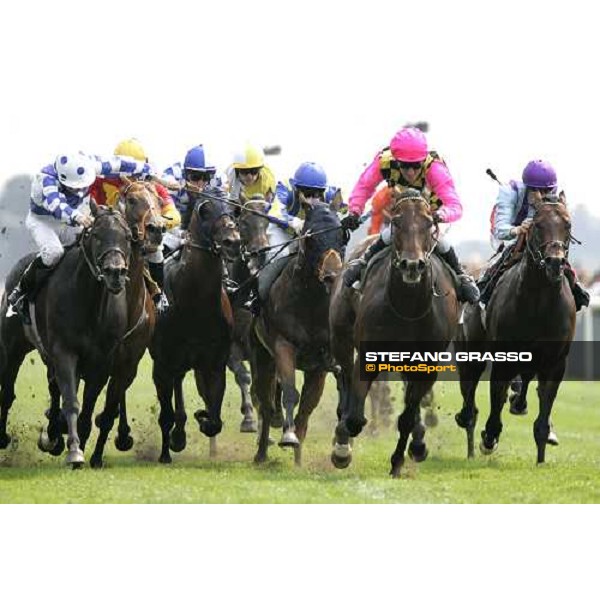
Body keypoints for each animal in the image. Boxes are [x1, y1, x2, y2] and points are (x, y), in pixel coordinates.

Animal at [0, 204, 132, 466]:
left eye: (127, 236)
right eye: (96, 235)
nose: (115, 272)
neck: (90, 305)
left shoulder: (101, 362)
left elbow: (87, 406)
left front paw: (74, 439)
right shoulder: (65, 353)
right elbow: (71, 401)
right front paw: (74, 451)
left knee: (52, 388)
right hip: (12, 348)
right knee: (7, 393)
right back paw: (4, 437)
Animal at [149, 191, 240, 464]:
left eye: (234, 212)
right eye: (205, 211)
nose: (232, 242)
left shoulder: (215, 364)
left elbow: (215, 420)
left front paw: (202, 416)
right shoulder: (162, 364)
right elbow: (166, 414)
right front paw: (168, 450)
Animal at [250, 199, 344, 466]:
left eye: (342, 235)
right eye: (311, 237)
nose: (332, 274)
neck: (310, 302)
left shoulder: (320, 364)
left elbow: (306, 408)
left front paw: (298, 461)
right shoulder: (283, 346)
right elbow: (289, 393)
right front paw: (288, 437)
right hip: (262, 357)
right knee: (265, 402)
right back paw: (261, 453)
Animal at [330, 188, 458, 478]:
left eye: (429, 223)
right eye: (397, 222)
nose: (412, 265)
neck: (408, 308)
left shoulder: (426, 363)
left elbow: (408, 417)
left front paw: (399, 461)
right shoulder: (368, 355)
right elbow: (355, 418)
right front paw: (342, 449)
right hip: (341, 335)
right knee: (344, 378)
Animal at [454, 197, 576, 464]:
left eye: (568, 225)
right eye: (538, 225)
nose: (555, 262)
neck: (539, 302)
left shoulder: (555, 363)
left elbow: (543, 410)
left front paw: (541, 456)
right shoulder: (504, 358)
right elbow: (495, 401)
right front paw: (488, 439)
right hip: (470, 353)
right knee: (470, 396)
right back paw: (469, 434)